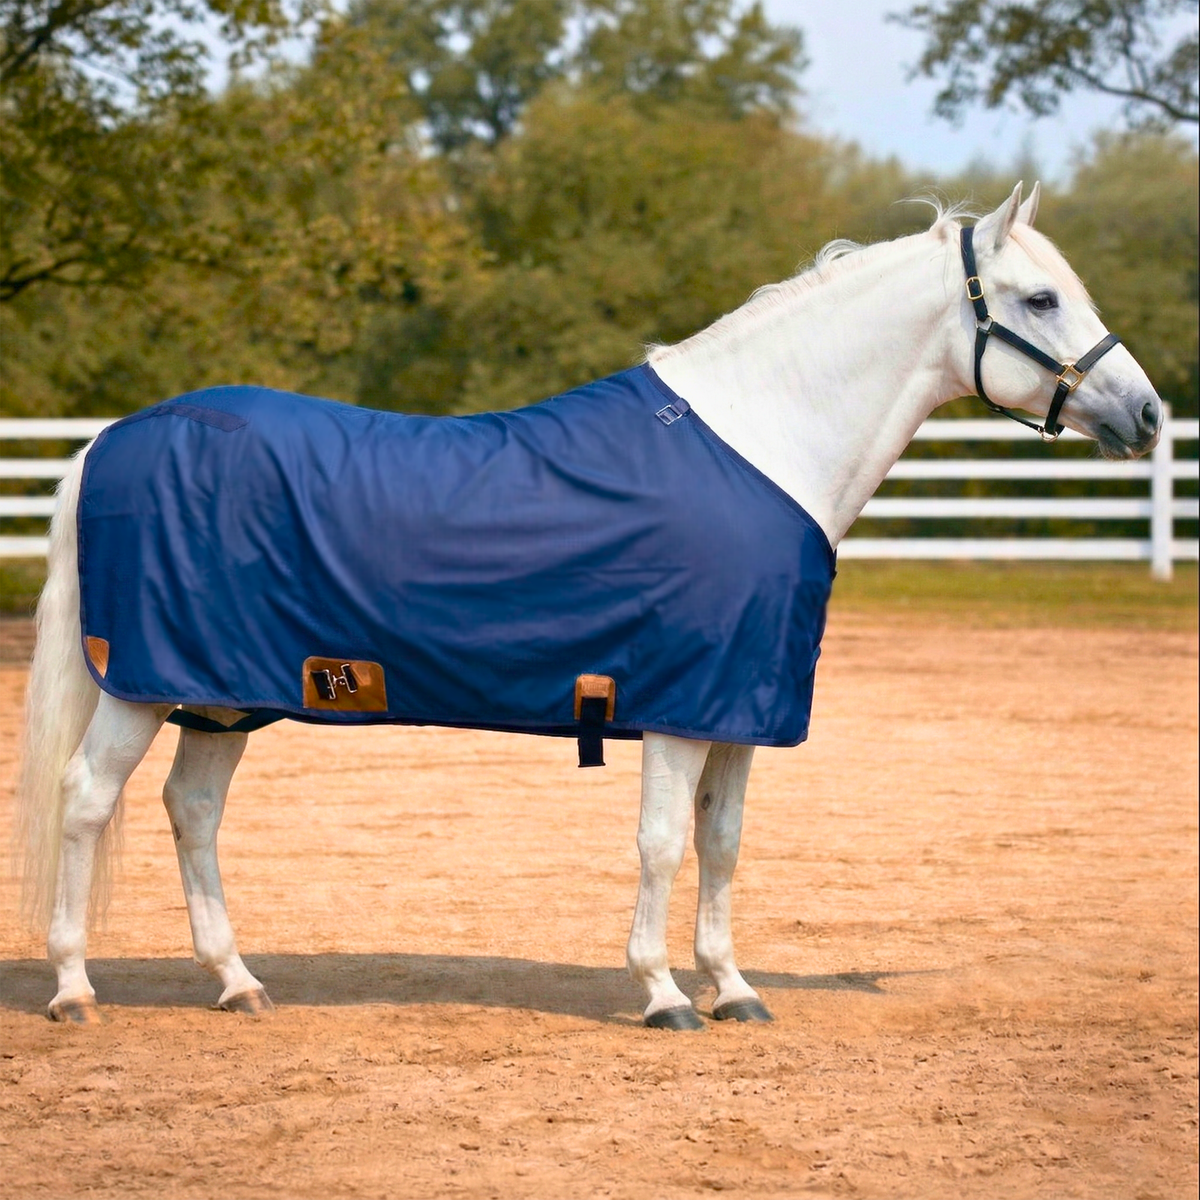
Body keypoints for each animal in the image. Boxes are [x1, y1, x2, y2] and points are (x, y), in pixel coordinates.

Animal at [15, 183, 1162, 1030]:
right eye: (1040, 299)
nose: (1148, 414)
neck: (763, 440)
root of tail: (114, 435)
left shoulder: (738, 707)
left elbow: (722, 843)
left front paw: (734, 989)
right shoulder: (679, 704)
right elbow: (661, 844)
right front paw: (661, 995)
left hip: (223, 692)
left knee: (192, 811)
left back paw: (238, 983)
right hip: (141, 687)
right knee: (86, 801)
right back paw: (74, 989)